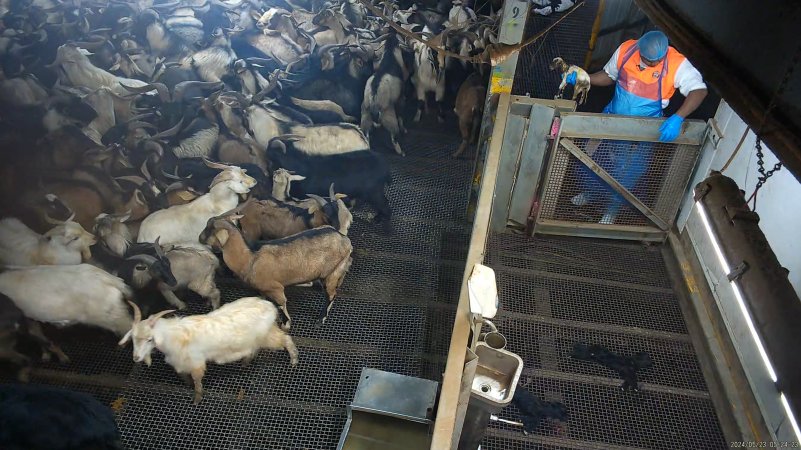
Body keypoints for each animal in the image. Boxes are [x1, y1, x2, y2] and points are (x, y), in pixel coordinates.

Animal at [122, 298, 300, 404]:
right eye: (133, 338)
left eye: (149, 339)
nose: (136, 358)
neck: (173, 335)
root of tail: (270, 306)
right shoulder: (180, 363)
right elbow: (184, 376)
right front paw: (187, 384)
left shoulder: (196, 363)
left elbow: (197, 382)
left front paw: (196, 399)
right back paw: (246, 361)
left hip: (265, 336)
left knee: (285, 339)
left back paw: (293, 360)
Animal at [199, 214, 350, 326]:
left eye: (208, 229)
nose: (199, 237)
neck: (249, 257)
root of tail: (343, 239)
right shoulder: (262, 289)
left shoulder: (275, 288)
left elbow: (281, 304)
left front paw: (285, 323)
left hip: (331, 272)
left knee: (331, 294)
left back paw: (320, 319)